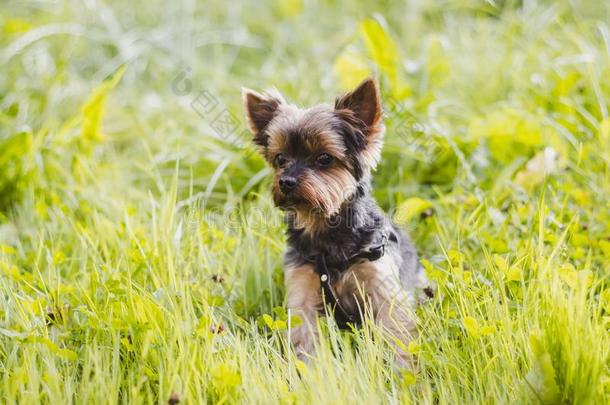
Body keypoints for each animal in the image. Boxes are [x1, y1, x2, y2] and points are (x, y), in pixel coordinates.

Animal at [242, 77, 432, 364]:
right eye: (280, 158)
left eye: (324, 158)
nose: (286, 181)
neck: (326, 228)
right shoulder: (303, 289)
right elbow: (306, 337)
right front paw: (310, 370)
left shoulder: (382, 287)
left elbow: (394, 333)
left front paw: (400, 370)